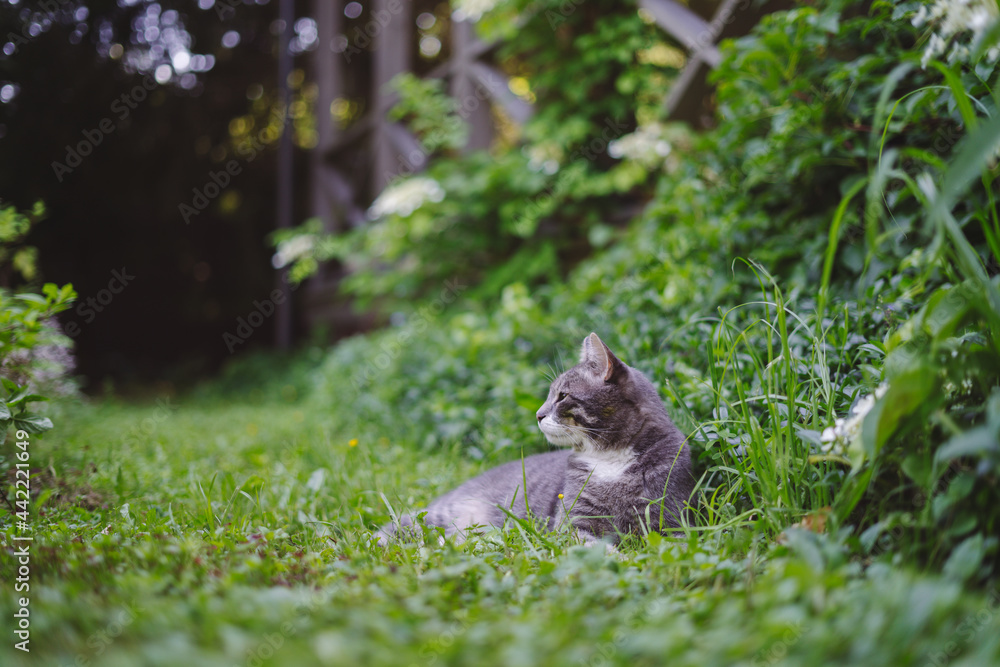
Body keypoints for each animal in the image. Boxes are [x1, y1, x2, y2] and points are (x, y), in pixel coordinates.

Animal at [376, 334, 696, 548]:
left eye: (562, 396)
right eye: (549, 394)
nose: (538, 414)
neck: (610, 459)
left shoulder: (672, 517)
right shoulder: (572, 522)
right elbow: (593, 548)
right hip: (439, 515)